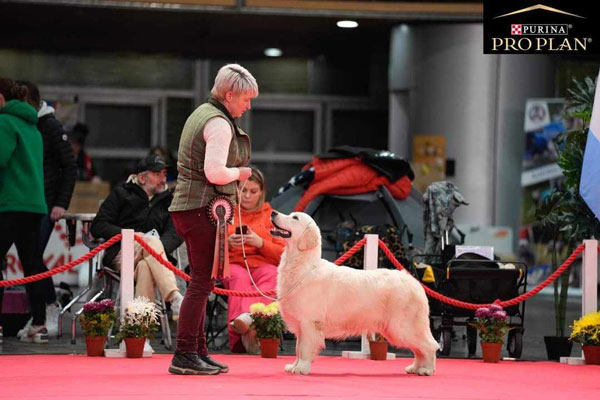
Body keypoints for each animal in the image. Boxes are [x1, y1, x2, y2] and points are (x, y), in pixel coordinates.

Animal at [270, 211, 436, 376]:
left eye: (295, 218)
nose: (273, 213)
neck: (302, 265)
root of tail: (413, 281)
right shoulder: (300, 326)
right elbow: (298, 349)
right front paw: (293, 366)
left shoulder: (309, 322)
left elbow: (303, 349)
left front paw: (302, 368)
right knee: (419, 349)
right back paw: (415, 368)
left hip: (403, 327)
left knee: (429, 345)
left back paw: (427, 369)